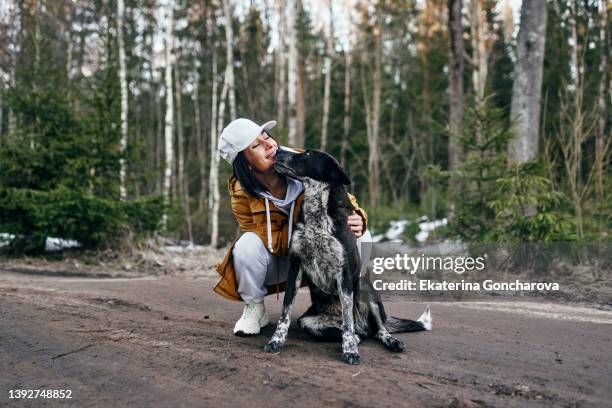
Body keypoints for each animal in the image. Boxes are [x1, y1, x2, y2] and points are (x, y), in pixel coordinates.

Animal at [262, 148, 430, 364]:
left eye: (308, 154)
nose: (277, 150)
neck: (317, 209)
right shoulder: (295, 267)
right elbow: (285, 312)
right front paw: (276, 340)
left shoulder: (344, 272)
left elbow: (348, 321)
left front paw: (350, 351)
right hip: (308, 322)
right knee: (360, 333)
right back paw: (355, 338)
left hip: (367, 291)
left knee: (376, 329)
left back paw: (390, 341)